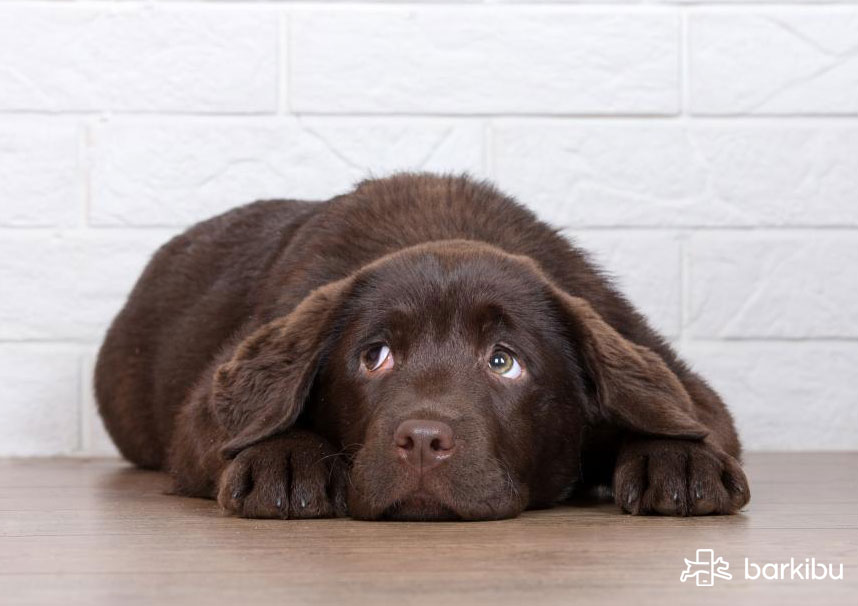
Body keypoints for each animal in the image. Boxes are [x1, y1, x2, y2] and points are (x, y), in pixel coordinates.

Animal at [95, 172, 748, 524]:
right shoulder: (209, 401)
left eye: (504, 361)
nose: (424, 441)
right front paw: (286, 458)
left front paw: (680, 460)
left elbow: (688, 415)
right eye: (374, 356)